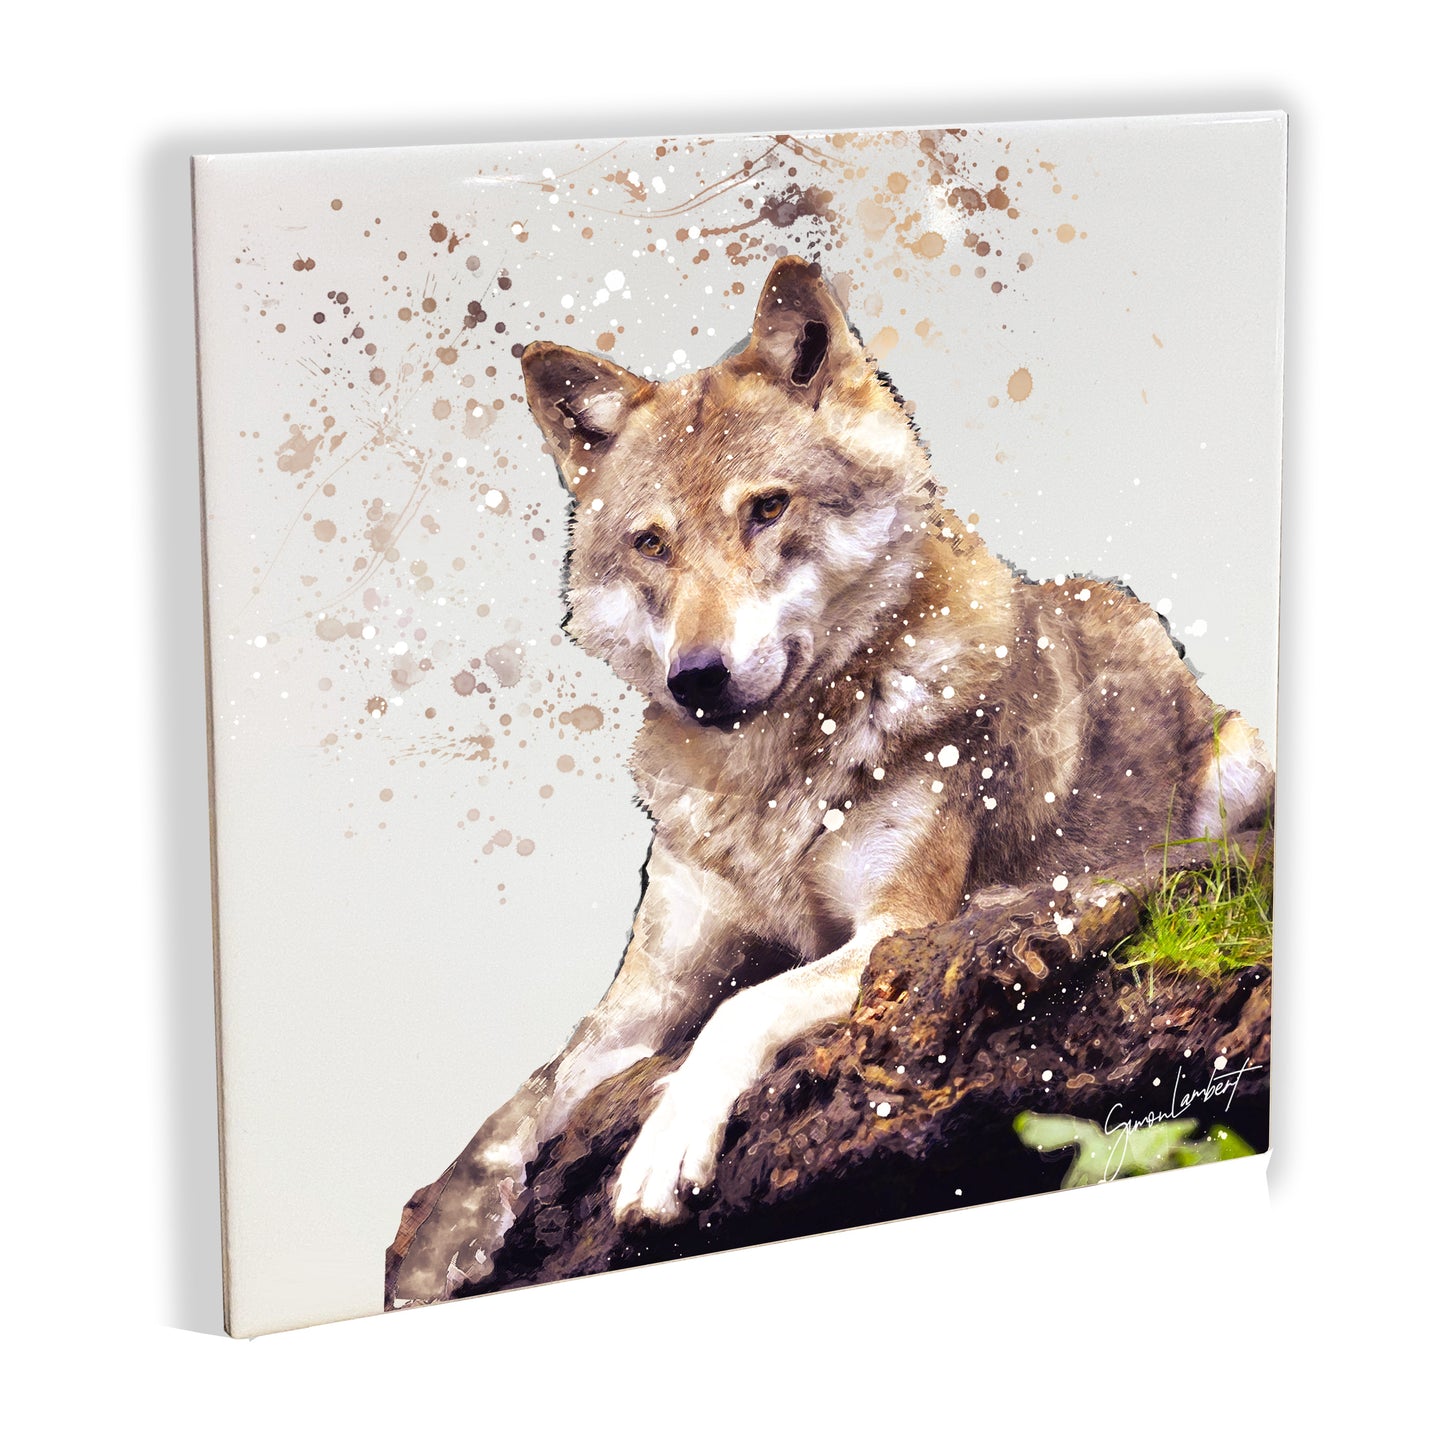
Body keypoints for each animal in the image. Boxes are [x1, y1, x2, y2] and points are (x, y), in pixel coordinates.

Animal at [387, 254, 1273, 1305]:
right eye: (652, 543)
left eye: (766, 509)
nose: (696, 677)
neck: (765, 786)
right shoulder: (644, 990)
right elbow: (514, 1109)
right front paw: (436, 1249)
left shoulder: (893, 929)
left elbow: (742, 1005)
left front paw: (663, 1149)